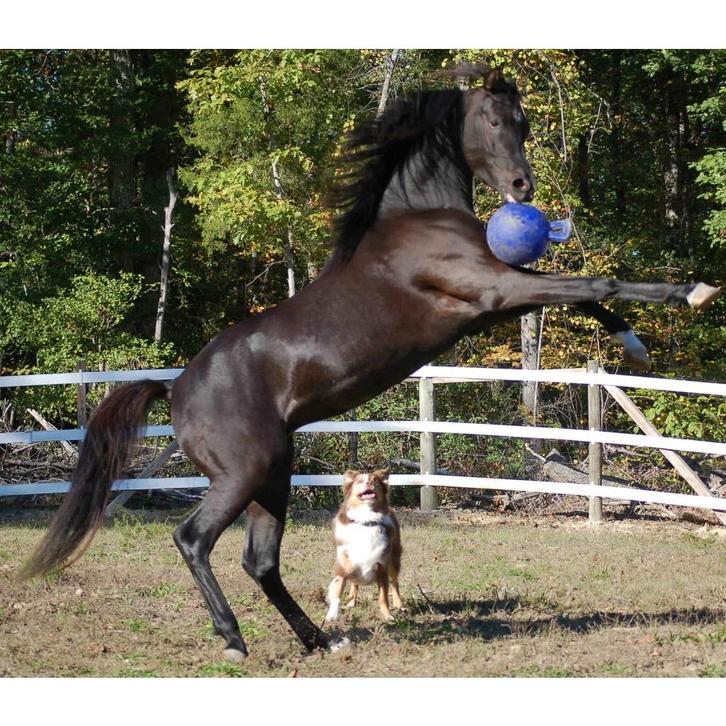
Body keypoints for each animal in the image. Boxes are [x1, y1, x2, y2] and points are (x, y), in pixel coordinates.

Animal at [22, 66, 720, 663]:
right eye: (495, 121)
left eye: (523, 124)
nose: (524, 189)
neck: (416, 219)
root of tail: (175, 388)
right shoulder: (493, 292)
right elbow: (595, 282)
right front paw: (690, 294)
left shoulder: (493, 301)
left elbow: (585, 293)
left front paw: (636, 342)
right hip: (242, 473)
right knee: (193, 539)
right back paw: (234, 641)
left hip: (272, 475)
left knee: (260, 561)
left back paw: (320, 641)